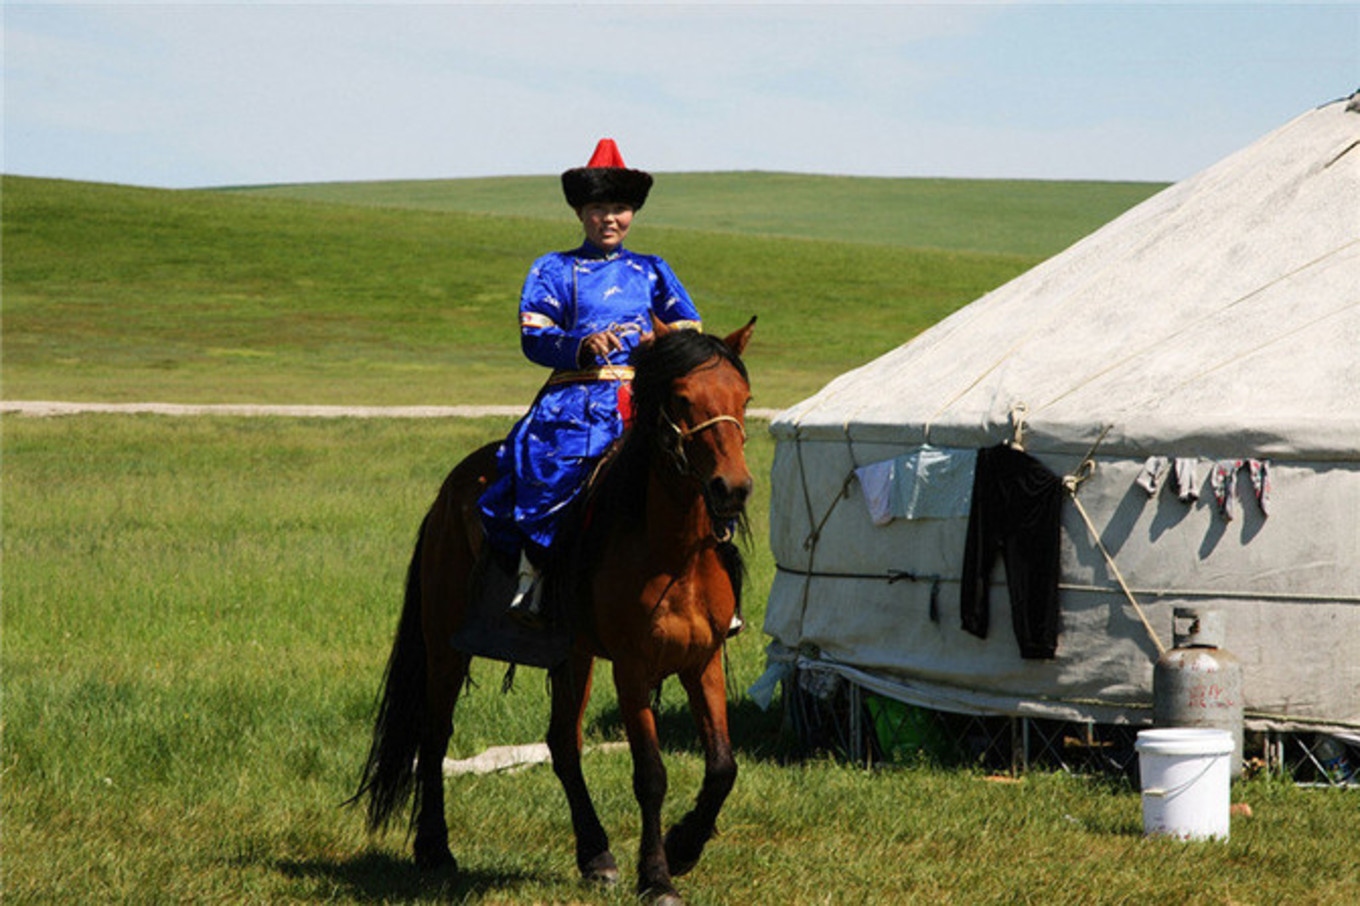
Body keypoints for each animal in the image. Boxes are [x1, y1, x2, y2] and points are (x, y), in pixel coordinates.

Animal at [350, 314, 756, 897]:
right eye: (682, 399)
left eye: (744, 398)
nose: (733, 489)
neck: (674, 553)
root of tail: (450, 490)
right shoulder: (633, 667)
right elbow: (650, 775)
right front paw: (657, 878)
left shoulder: (702, 661)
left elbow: (723, 766)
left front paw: (682, 847)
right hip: (445, 641)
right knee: (435, 734)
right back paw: (434, 848)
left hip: (572, 653)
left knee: (563, 743)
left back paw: (596, 854)